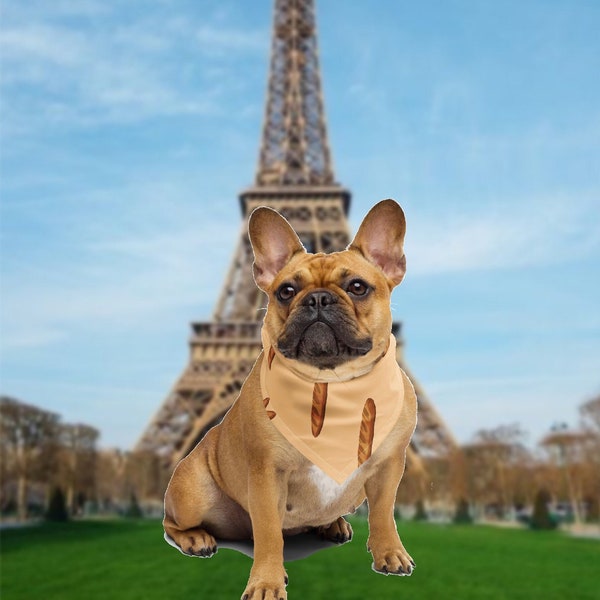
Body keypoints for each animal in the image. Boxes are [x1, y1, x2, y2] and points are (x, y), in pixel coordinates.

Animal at [164, 199, 418, 596]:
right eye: (285, 291)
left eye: (357, 286)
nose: (317, 298)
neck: (329, 382)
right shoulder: (267, 474)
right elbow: (269, 534)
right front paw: (266, 581)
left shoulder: (389, 465)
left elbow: (383, 514)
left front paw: (389, 552)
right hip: (194, 491)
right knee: (172, 523)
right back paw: (196, 538)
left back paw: (333, 525)